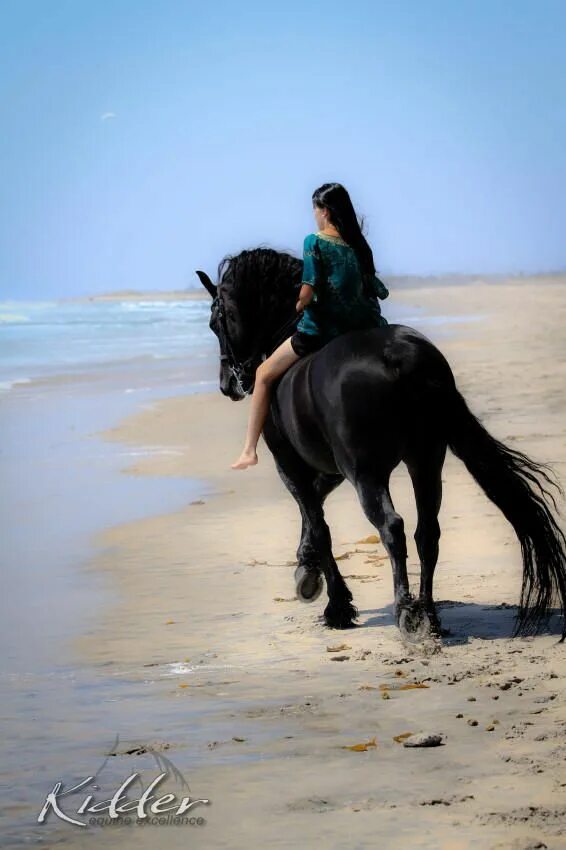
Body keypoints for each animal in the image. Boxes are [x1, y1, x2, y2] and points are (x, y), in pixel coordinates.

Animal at [196, 245, 566, 636]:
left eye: (216, 322)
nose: (229, 384)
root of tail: (399, 357)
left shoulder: (292, 465)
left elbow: (319, 523)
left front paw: (335, 604)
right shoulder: (332, 469)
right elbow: (316, 510)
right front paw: (306, 569)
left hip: (368, 475)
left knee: (393, 528)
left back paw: (407, 614)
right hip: (425, 462)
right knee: (427, 533)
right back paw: (429, 615)